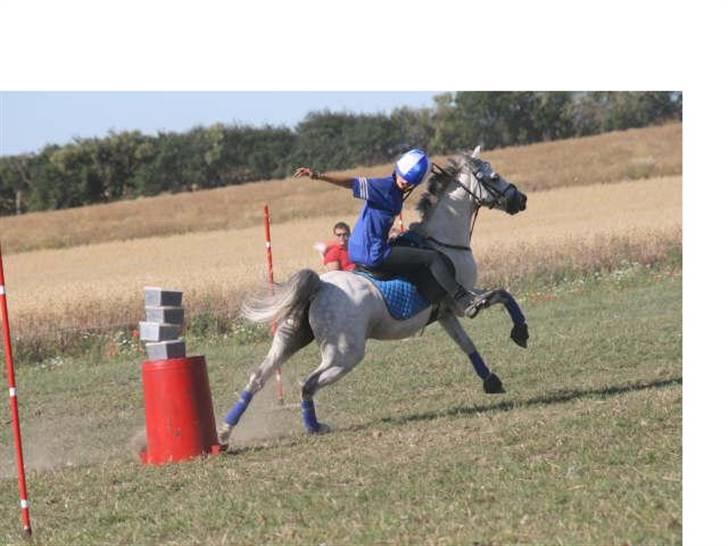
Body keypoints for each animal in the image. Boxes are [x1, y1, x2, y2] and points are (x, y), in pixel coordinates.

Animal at [218, 147, 529, 441]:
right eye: (493, 178)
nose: (521, 199)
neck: (444, 242)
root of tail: (319, 286)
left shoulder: (444, 313)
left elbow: (467, 344)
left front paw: (491, 380)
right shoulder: (460, 301)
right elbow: (503, 295)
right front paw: (521, 333)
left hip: (290, 337)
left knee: (259, 377)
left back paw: (225, 432)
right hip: (344, 354)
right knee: (307, 383)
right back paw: (313, 426)